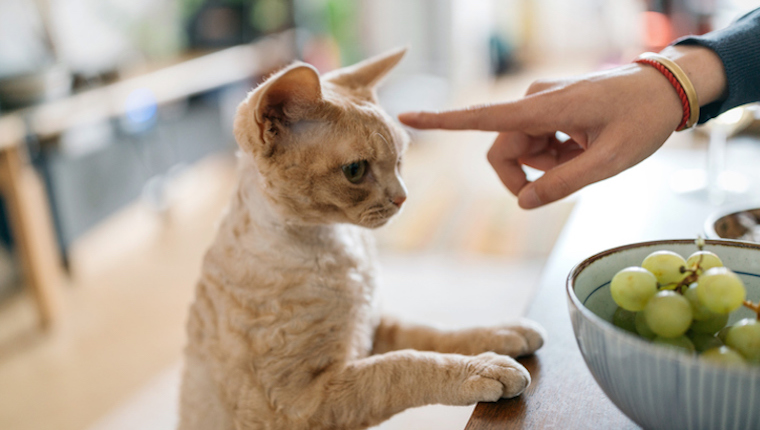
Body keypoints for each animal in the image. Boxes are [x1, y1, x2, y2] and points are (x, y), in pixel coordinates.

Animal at [178, 47, 548, 430]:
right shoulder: (299, 404)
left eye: (400, 160)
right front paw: (481, 368)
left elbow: (433, 333)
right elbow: (401, 366)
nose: (403, 198)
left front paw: (502, 333)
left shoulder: (374, 327)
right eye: (355, 171)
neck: (337, 246)